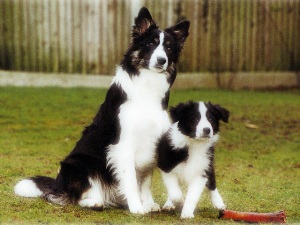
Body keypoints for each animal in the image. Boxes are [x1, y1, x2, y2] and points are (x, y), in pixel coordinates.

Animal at [14, 7, 190, 214]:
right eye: (150, 44)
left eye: (169, 48)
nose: (162, 60)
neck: (147, 86)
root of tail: (58, 184)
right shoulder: (123, 145)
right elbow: (131, 180)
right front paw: (137, 207)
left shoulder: (152, 143)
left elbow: (145, 179)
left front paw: (147, 203)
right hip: (79, 164)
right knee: (78, 196)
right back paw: (94, 202)